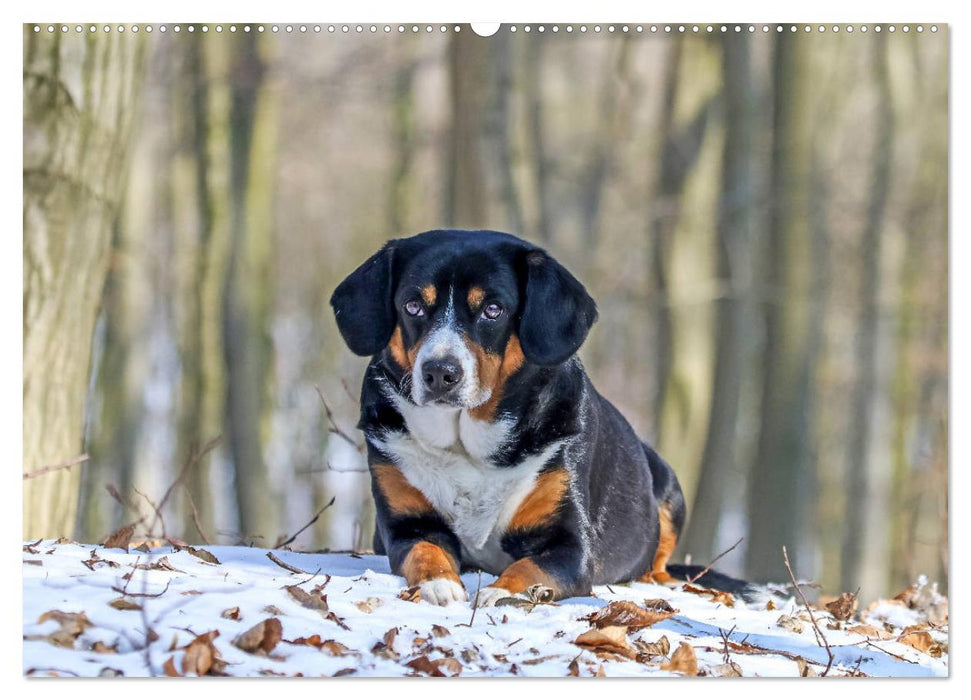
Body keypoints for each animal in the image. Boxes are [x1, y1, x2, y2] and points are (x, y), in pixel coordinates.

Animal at [330, 230, 732, 608]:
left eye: (493, 309)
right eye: (412, 306)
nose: (440, 372)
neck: (467, 445)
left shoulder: (569, 544)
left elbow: (530, 567)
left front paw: (500, 592)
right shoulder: (406, 525)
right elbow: (425, 550)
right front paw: (439, 585)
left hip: (669, 487)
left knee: (659, 562)